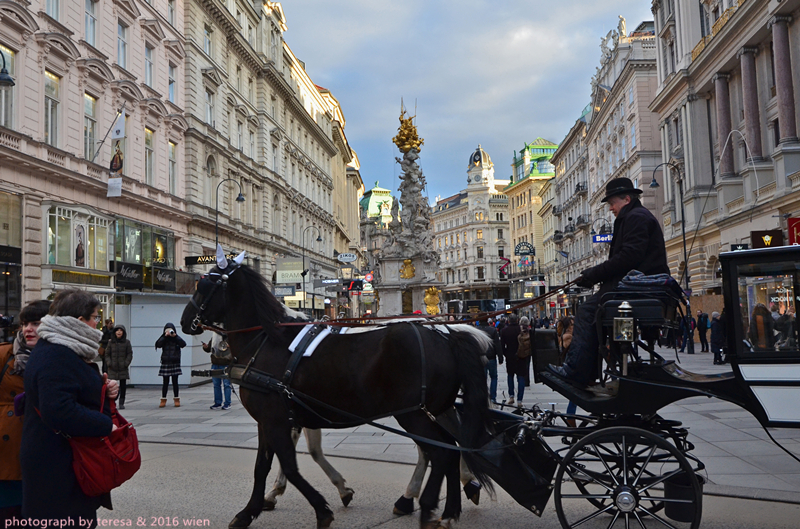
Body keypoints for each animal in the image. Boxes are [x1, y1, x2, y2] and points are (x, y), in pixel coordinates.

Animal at [181, 254, 494, 524]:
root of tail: (447, 333)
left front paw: (319, 508)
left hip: (413, 413)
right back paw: (452, 505)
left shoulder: (275, 418)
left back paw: (424, 504)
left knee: (438, 452)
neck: (267, 341)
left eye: (203, 285)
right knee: (452, 447)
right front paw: (257, 506)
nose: (185, 322)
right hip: (434, 410)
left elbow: (290, 465)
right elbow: (270, 464)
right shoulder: (280, 418)